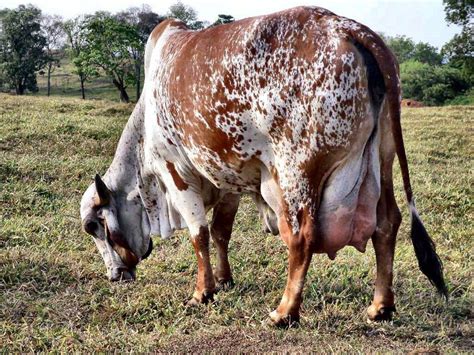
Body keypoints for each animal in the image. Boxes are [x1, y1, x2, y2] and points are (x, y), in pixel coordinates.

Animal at [79, 6, 446, 328]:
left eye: (93, 226)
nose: (115, 275)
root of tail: (349, 28)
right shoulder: (226, 178)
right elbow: (220, 232)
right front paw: (224, 279)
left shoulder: (177, 172)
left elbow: (199, 235)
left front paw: (202, 292)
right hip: (381, 159)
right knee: (387, 224)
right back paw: (380, 307)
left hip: (297, 172)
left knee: (302, 237)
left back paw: (284, 312)